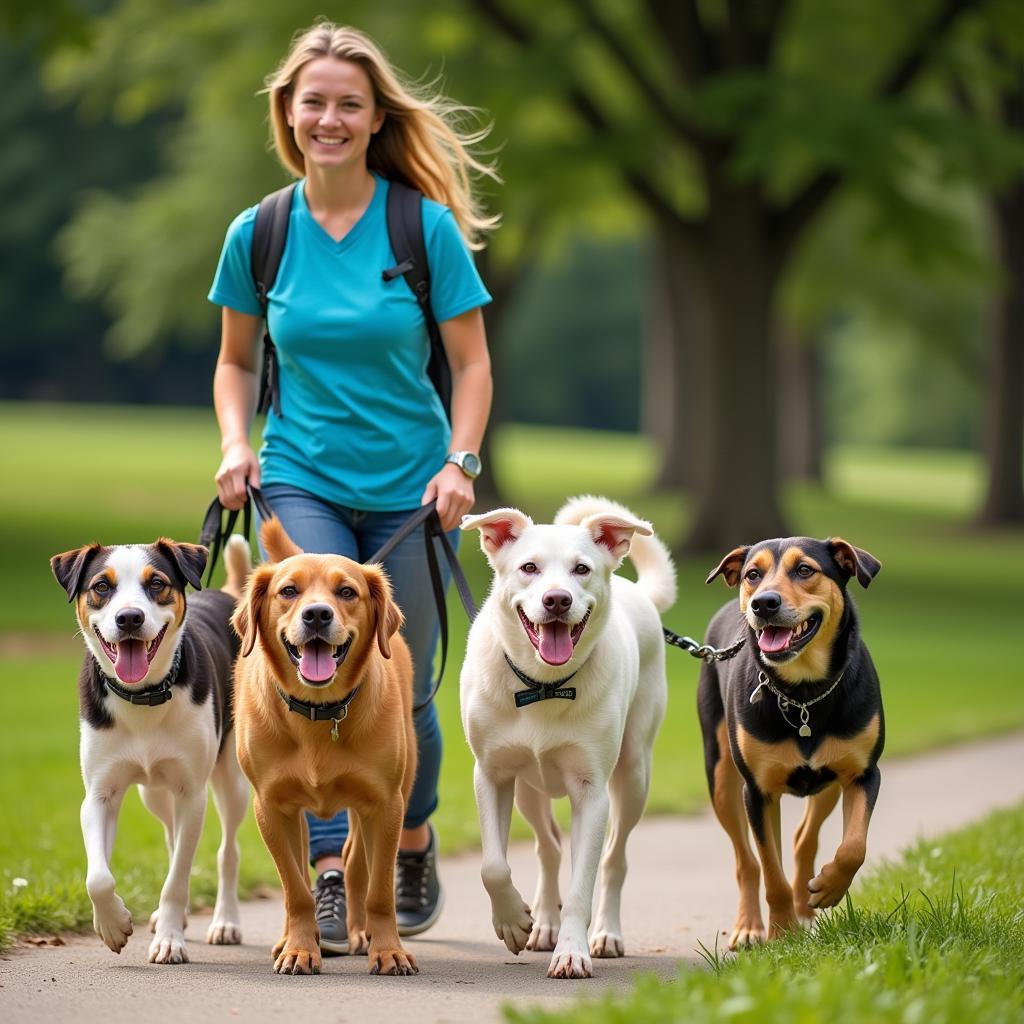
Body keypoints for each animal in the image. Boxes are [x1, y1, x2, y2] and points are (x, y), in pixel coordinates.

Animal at [234, 520, 417, 974]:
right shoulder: (271, 807)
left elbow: (379, 890)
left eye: (347, 592)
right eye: (288, 591)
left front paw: (388, 949)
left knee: (354, 861)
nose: (317, 614)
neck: (319, 712)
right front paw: (300, 948)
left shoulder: (385, 805)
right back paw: (290, 939)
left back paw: (359, 932)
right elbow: (296, 889)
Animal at [460, 499, 675, 978]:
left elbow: (582, 885)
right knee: (549, 848)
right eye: (529, 567)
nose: (557, 599)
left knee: (614, 859)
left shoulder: (591, 791)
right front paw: (513, 921)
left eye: (581, 569)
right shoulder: (491, 775)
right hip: (528, 790)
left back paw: (606, 933)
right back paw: (542, 922)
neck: (544, 684)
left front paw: (573, 951)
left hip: (634, 775)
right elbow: (492, 866)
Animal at [700, 540, 884, 946]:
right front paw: (782, 934)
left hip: (829, 782)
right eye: (753, 574)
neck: (804, 692)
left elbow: (854, 847)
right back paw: (750, 926)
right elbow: (771, 871)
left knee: (804, 839)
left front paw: (828, 889)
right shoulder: (757, 791)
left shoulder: (863, 773)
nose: (763, 603)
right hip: (720, 778)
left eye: (804, 570)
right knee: (747, 861)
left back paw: (806, 904)